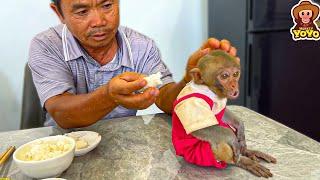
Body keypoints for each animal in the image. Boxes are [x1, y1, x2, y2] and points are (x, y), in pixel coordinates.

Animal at [171, 50, 276, 178]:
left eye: (235, 74)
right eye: (225, 76)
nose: (234, 85)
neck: (208, 89)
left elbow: (223, 113)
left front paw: (240, 128)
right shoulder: (194, 103)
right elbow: (203, 129)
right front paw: (233, 139)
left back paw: (247, 152)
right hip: (199, 155)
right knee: (222, 142)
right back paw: (242, 160)